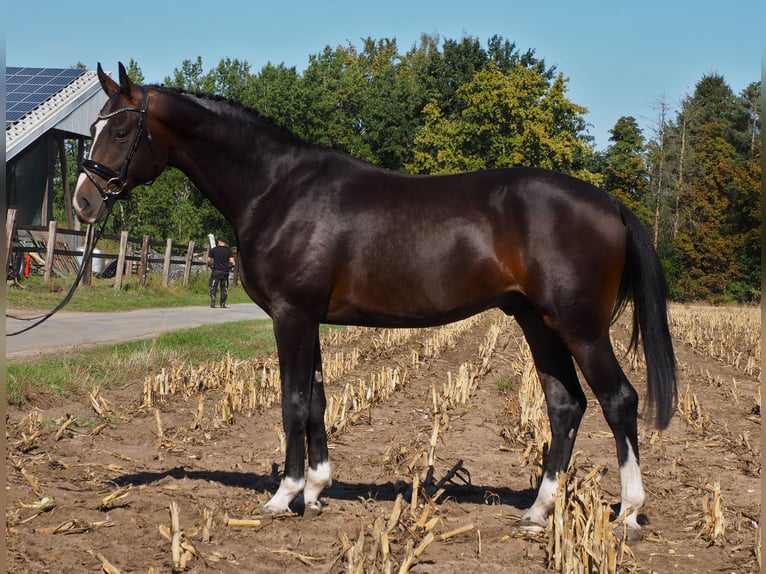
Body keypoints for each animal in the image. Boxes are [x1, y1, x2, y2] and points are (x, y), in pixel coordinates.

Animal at [75, 64, 680, 540]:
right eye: (93, 127)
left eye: (122, 129)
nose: (83, 202)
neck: (277, 189)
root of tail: (610, 203)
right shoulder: (308, 319)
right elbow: (317, 400)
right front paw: (316, 489)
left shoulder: (292, 315)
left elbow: (292, 401)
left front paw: (283, 496)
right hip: (538, 323)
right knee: (565, 405)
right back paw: (537, 511)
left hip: (580, 327)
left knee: (619, 401)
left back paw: (628, 513)